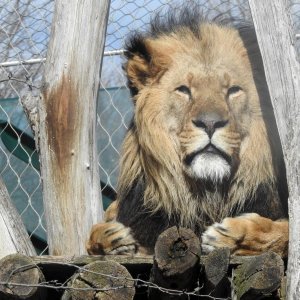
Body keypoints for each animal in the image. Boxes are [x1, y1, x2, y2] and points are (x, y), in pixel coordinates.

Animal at [86, 8, 288, 256]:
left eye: (233, 90)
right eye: (183, 90)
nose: (210, 123)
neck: (206, 195)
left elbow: (282, 232)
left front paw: (231, 234)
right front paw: (110, 237)